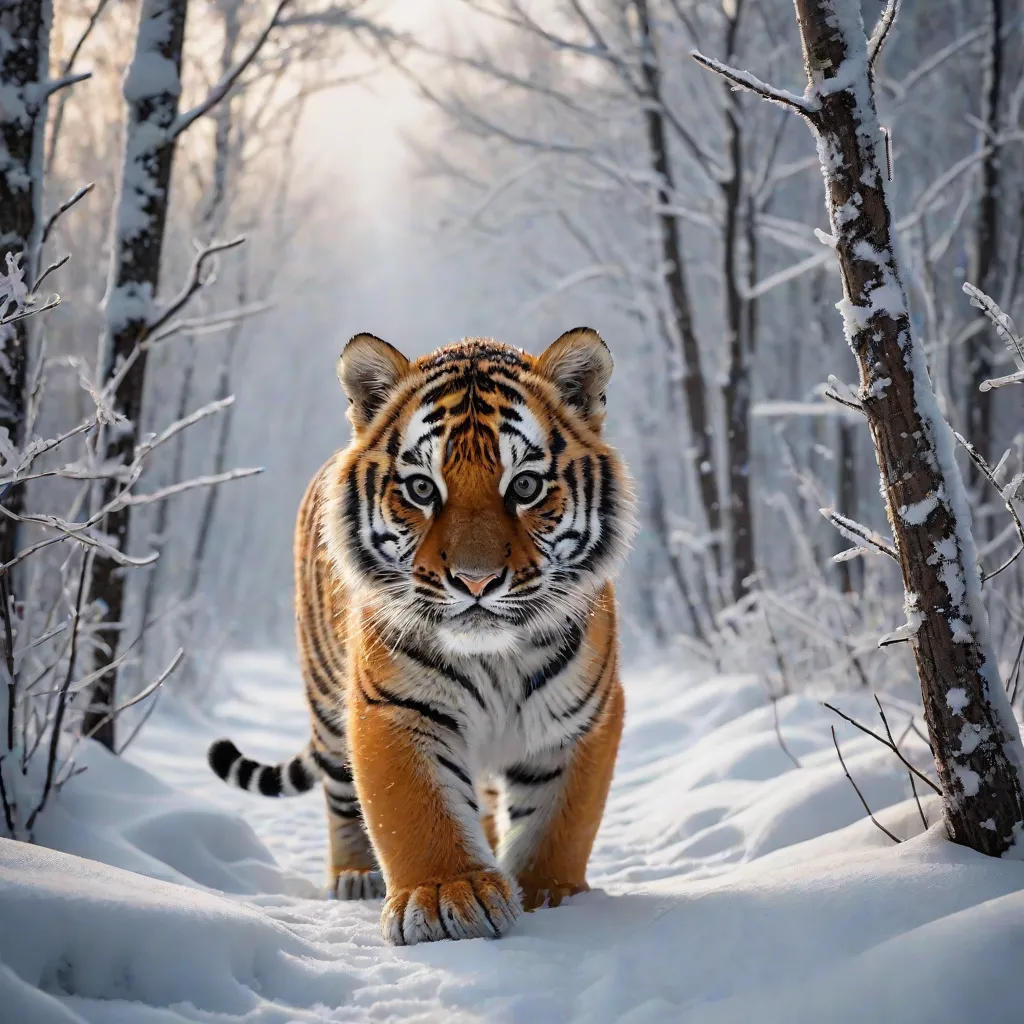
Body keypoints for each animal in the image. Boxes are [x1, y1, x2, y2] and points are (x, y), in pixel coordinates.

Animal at [208, 327, 635, 944]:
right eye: (421, 489)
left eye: (526, 486)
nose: (475, 580)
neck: (494, 660)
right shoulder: (393, 705)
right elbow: (414, 808)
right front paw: (446, 897)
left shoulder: (584, 718)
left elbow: (560, 822)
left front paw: (550, 897)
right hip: (327, 700)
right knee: (340, 794)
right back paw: (356, 876)